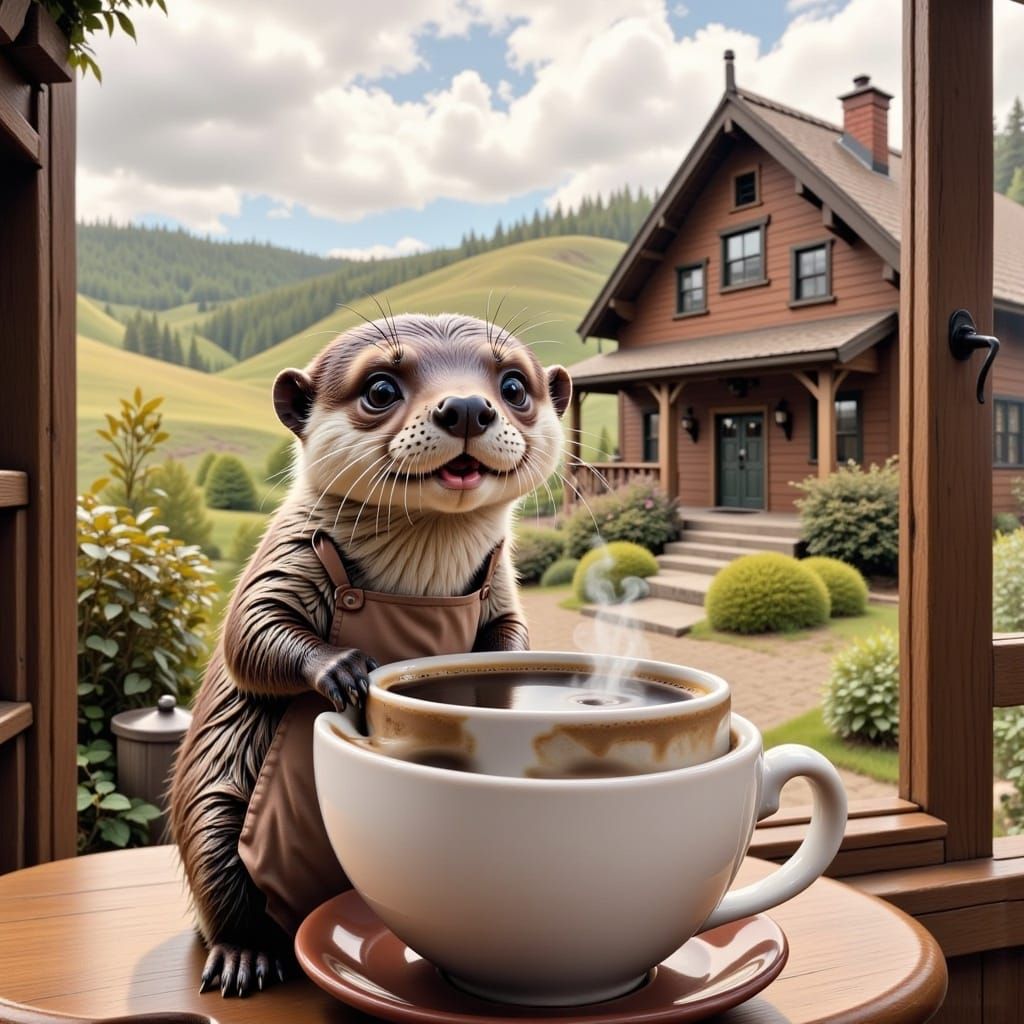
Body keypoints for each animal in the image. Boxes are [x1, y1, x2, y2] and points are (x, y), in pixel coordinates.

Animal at [170, 312, 571, 998]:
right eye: (381, 388)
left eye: (514, 385)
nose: (467, 407)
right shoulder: (287, 553)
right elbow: (250, 633)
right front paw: (345, 669)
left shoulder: (501, 585)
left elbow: (512, 634)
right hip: (213, 806)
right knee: (219, 876)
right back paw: (246, 954)